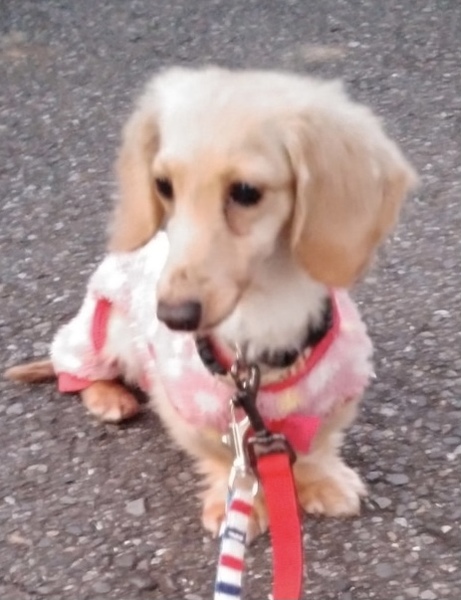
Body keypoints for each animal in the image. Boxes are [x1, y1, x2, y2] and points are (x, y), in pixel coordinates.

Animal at [5, 67, 417, 537]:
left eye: (246, 191)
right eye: (163, 185)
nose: (173, 316)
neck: (266, 309)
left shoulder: (339, 388)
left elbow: (319, 444)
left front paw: (323, 482)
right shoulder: (192, 409)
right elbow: (223, 459)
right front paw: (234, 505)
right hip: (102, 331)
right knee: (74, 371)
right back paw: (110, 398)